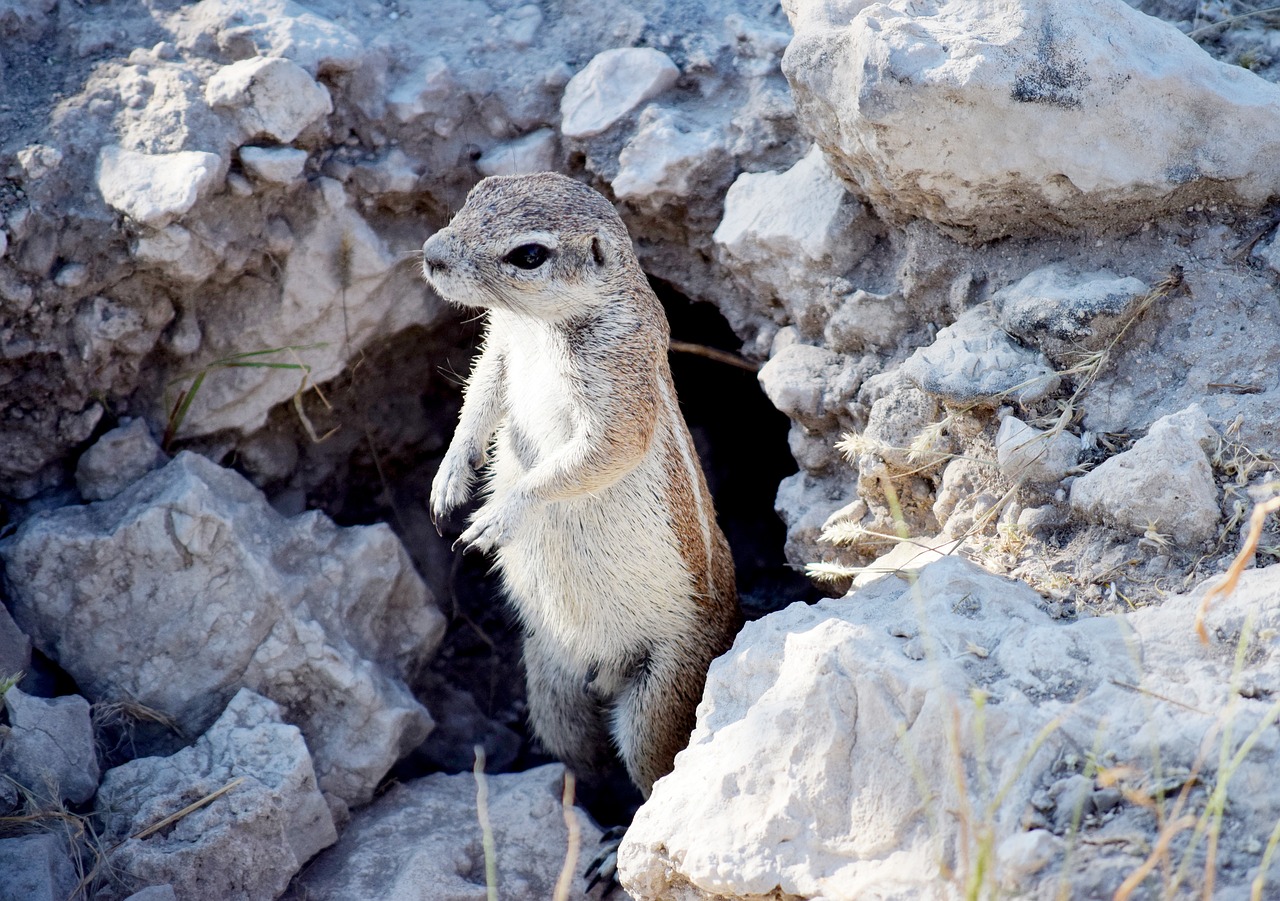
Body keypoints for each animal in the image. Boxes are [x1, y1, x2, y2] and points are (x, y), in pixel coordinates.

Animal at [422, 170, 742, 793]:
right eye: (477, 192)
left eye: (529, 255)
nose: (431, 254)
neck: (538, 327)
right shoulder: (501, 346)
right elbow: (480, 397)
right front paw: (449, 478)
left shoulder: (620, 380)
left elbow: (601, 451)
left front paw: (497, 516)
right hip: (550, 683)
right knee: (579, 752)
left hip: (657, 697)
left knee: (654, 768)